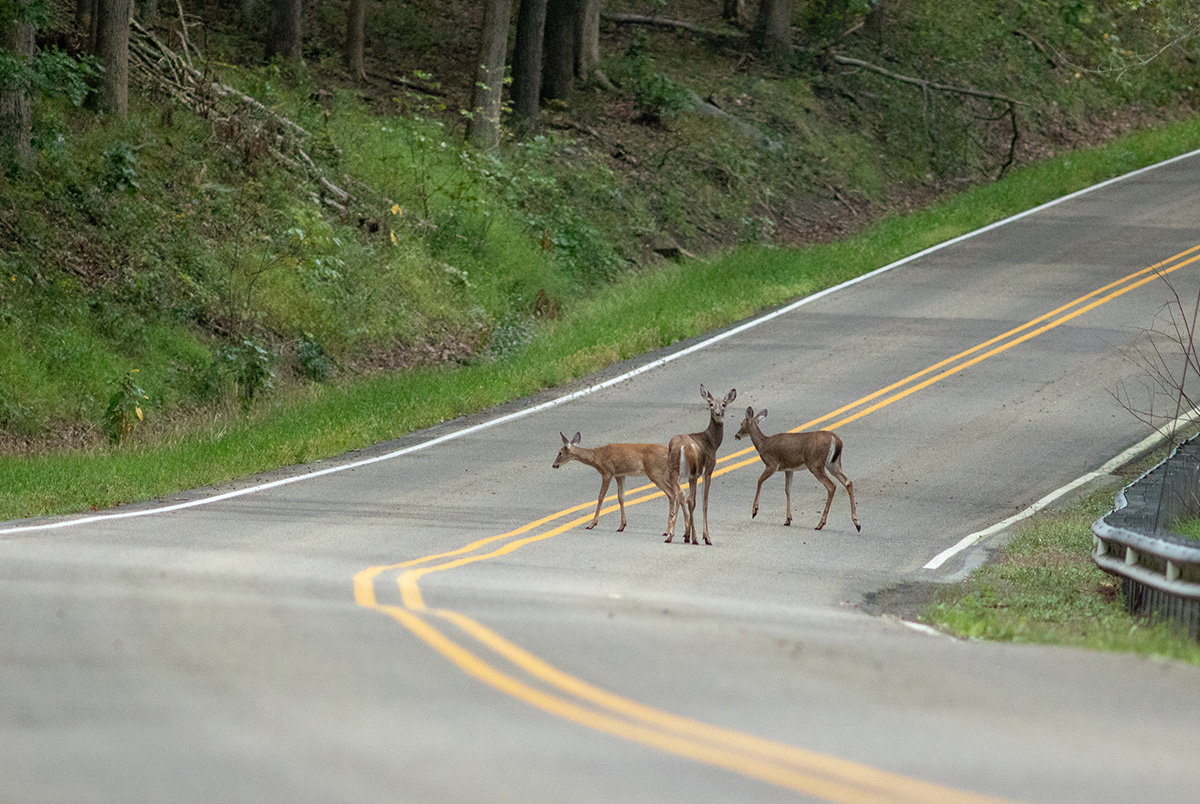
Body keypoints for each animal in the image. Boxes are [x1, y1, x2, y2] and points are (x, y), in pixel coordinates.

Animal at [552, 432, 686, 537]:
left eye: (560, 452)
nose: (554, 465)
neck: (596, 457)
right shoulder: (620, 475)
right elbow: (621, 497)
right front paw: (622, 526)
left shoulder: (607, 472)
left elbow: (601, 496)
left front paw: (592, 524)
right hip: (666, 474)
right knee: (680, 492)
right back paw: (680, 531)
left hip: (655, 472)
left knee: (672, 493)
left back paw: (668, 531)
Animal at [662, 386, 734, 547]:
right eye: (711, 404)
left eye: (723, 404)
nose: (717, 413)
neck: (712, 442)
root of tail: (681, 446)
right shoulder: (708, 469)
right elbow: (704, 502)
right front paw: (706, 537)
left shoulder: (691, 476)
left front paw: (686, 535)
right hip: (693, 471)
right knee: (688, 498)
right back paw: (693, 537)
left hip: (674, 470)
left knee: (679, 494)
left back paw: (671, 535)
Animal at [729, 410, 864, 535]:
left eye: (741, 423)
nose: (736, 435)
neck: (762, 443)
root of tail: (835, 439)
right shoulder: (789, 469)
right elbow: (787, 490)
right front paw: (788, 519)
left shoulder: (772, 464)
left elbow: (759, 480)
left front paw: (754, 511)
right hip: (833, 464)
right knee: (848, 481)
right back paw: (857, 523)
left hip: (815, 464)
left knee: (831, 486)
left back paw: (820, 524)